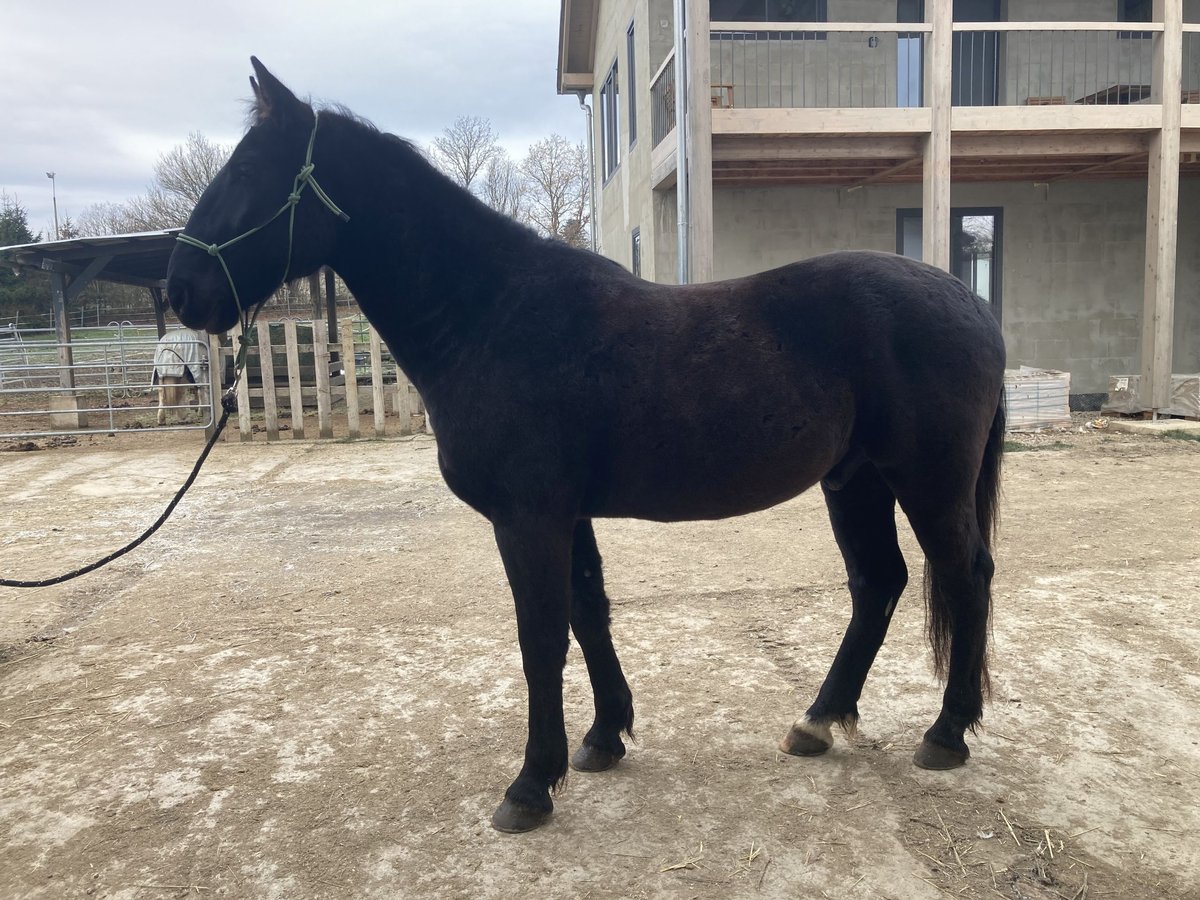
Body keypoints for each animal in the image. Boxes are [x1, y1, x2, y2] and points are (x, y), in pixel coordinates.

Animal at [166, 58, 1007, 834]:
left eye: (247, 170)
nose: (180, 289)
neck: (491, 314)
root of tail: (968, 300)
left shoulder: (527, 518)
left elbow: (541, 636)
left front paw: (531, 785)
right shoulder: (565, 516)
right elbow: (587, 612)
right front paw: (604, 738)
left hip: (926, 481)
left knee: (964, 574)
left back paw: (946, 734)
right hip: (855, 480)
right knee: (879, 583)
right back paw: (818, 720)